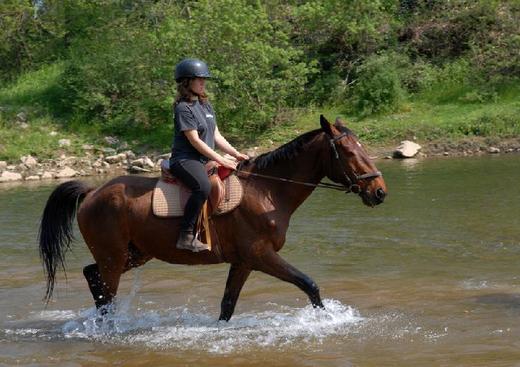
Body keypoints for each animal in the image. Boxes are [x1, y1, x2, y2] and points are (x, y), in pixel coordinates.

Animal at [38, 115, 386, 322]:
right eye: (349, 153)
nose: (380, 192)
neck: (267, 190)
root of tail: (93, 191)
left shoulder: (243, 262)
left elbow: (227, 305)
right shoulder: (261, 255)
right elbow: (309, 284)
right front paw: (328, 321)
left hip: (134, 254)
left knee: (91, 275)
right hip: (114, 257)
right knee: (104, 289)